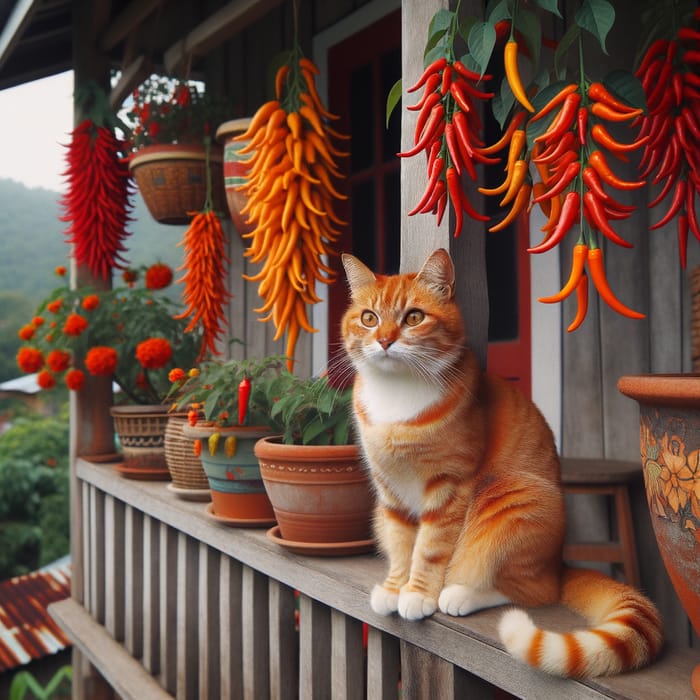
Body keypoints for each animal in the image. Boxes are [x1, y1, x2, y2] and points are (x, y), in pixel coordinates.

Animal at [340, 247, 660, 680]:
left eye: (414, 317)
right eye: (369, 318)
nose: (385, 340)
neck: (397, 396)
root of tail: (558, 563)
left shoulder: (449, 486)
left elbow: (428, 548)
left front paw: (417, 594)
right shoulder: (390, 492)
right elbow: (401, 542)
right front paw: (394, 588)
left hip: (509, 493)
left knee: (532, 590)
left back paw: (460, 593)